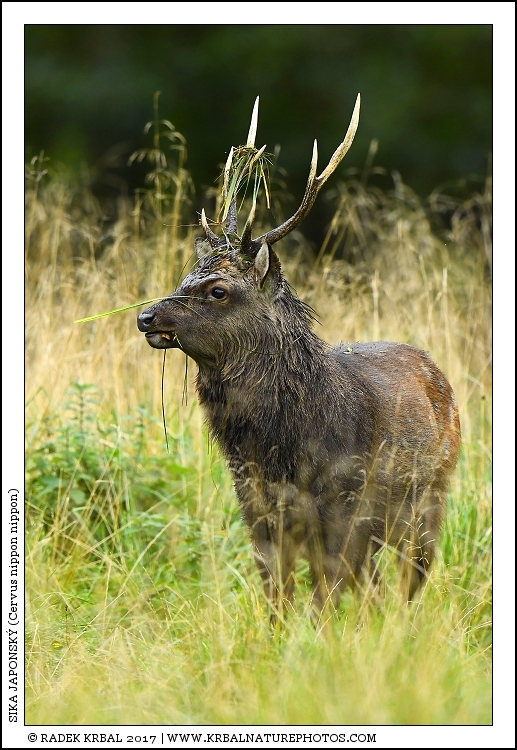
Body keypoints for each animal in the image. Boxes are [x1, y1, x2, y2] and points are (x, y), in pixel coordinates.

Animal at [137, 95, 461, 621]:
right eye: (187, 277)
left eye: (218, 290)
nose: (146, 317)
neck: (281, 448)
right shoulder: (256, 506)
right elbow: (278, 597)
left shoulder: (344, 505)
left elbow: (325, 598)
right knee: (375, 586)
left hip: (430, 496)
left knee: (410, 581)